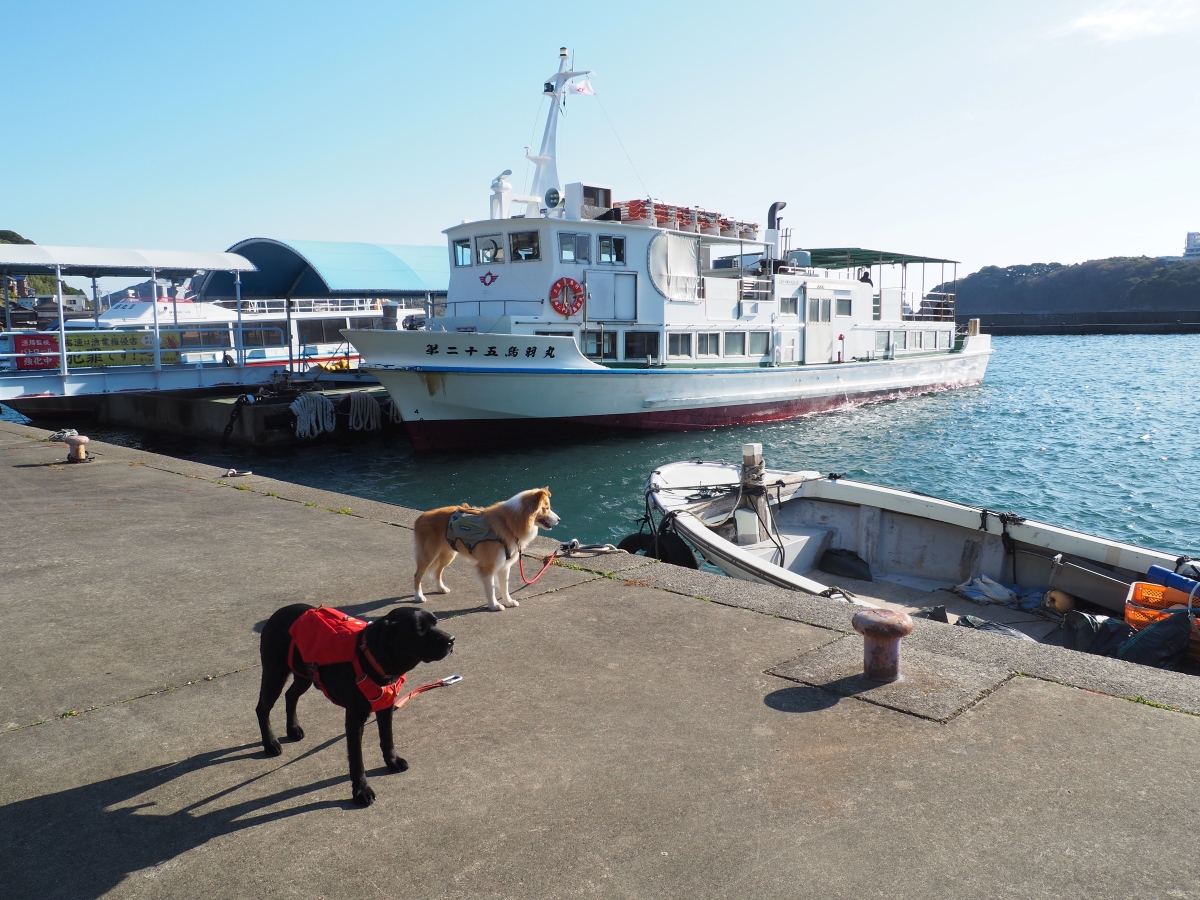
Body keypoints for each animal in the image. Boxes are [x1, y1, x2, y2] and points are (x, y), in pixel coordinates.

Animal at [256, 607, 453, 811]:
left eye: (435, 623)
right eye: (419, 629)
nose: (451, 639)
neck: (370, 659)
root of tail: (277, 613)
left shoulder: (386, 707)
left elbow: (387, 739)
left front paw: (392, 761)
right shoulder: (354, 719)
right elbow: (357, 760)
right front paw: (361, 792)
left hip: (304, 675)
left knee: (290, 695)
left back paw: (293, 729)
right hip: (274, 674)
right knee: (262, 709)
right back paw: (270, 743)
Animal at [412, 494, 561, 614]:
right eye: (546, 508)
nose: (559, 519)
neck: (508, 523)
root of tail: (420, 517)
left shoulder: (504, 566)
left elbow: (505, 587)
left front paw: (508, 602)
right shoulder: (488, 567)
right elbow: (491, 589)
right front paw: (494, 605)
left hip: (448, 554)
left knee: (438, 571)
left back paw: (441, 588)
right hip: (429, 554)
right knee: (417, 575)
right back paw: (419, 596)